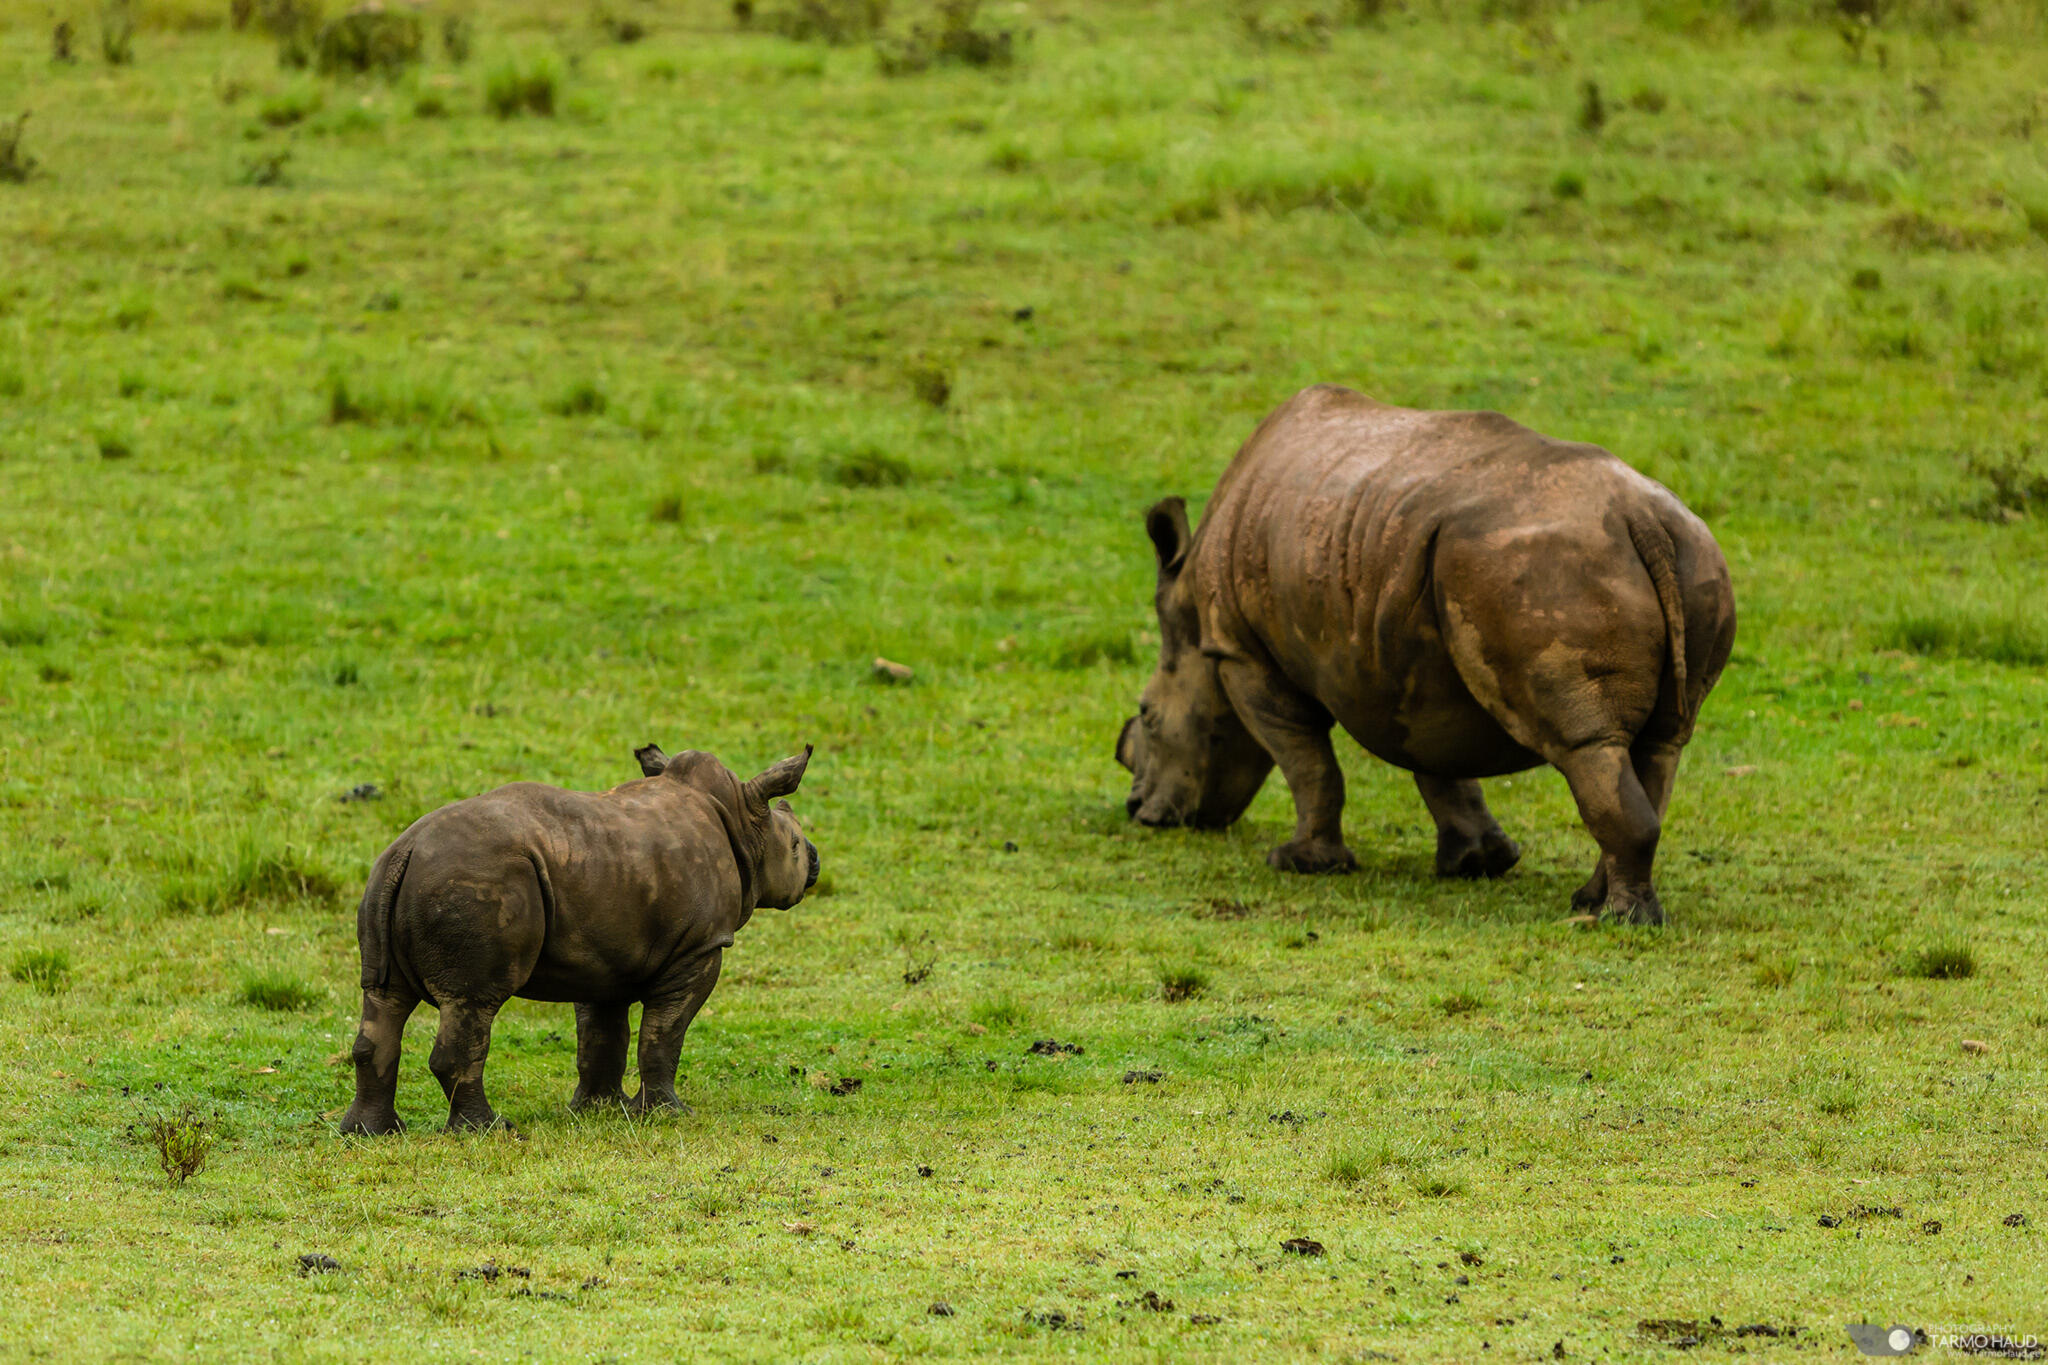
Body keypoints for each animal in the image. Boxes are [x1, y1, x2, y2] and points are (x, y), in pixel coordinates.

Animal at [339, 744, 818, 1135]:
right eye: (795, 844)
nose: (814, 859)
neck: (742, 819)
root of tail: (406, 849)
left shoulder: (604, 953)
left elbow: (603, 1035)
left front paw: (600, 1110)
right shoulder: (698, 947)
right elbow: (664, 1033)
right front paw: (670, 1114)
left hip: (387, 883)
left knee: (384, 1000)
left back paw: (371, 1133)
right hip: (474, 883)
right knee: (471, 1002)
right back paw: (489, 1130)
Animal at [1116, 385, 1735, 924]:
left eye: (1147, 715)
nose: (1138, 810)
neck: (1193, 624)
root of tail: (1642, 520)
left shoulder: (1242, 653)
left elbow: (1306, 761)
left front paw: (1300, 864)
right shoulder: (1413, 662)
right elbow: (1436, 757)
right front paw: (1479, 863)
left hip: (1547, 571)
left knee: (1586, 746)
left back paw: (1617, 921)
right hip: (1687, 560)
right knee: (1661, 745)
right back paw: (1589, 902)